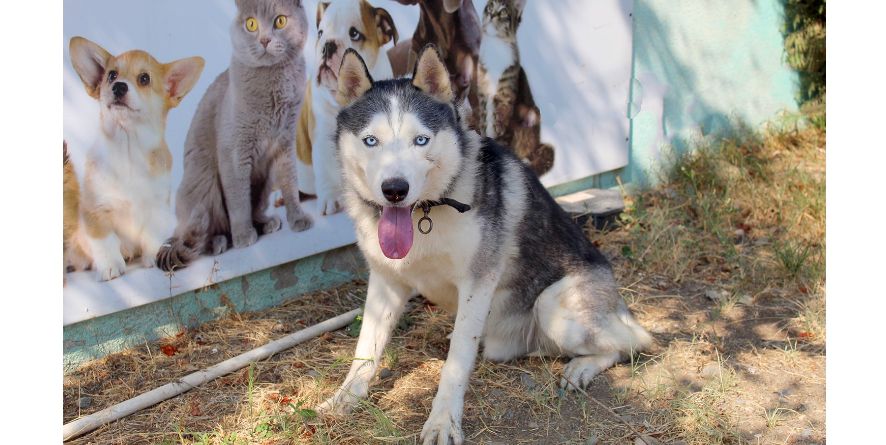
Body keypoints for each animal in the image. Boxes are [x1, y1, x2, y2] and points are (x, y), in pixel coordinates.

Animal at [320, 45, 652, 444]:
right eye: (371, 141)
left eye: (421, 140)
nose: (395, 190)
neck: (425, 214)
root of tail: (618, 300)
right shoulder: (386, 282)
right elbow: (365, 349)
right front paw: (345, 398)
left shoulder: (478, 282)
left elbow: (456, 360)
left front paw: (442, 422)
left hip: (553, 307)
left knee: (632, 343)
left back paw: (581, 369)